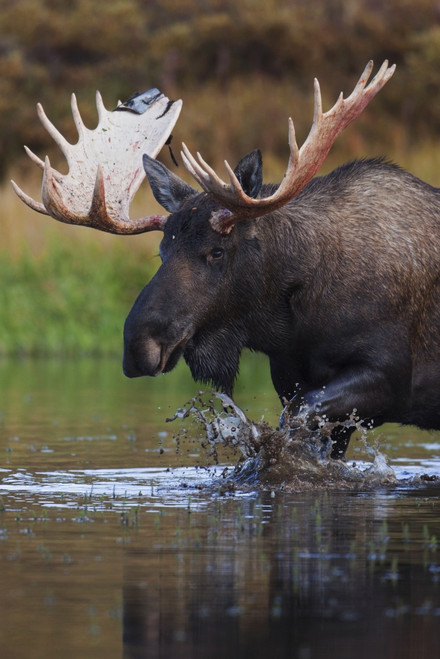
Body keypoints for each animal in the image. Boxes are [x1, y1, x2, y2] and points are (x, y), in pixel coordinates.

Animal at [15, 60, 440, 459]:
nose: (138, 346)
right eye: (162, 250)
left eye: (216, 251)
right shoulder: (290, 379)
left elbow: (297, 417)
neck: (292, 323)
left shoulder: (386, 373)